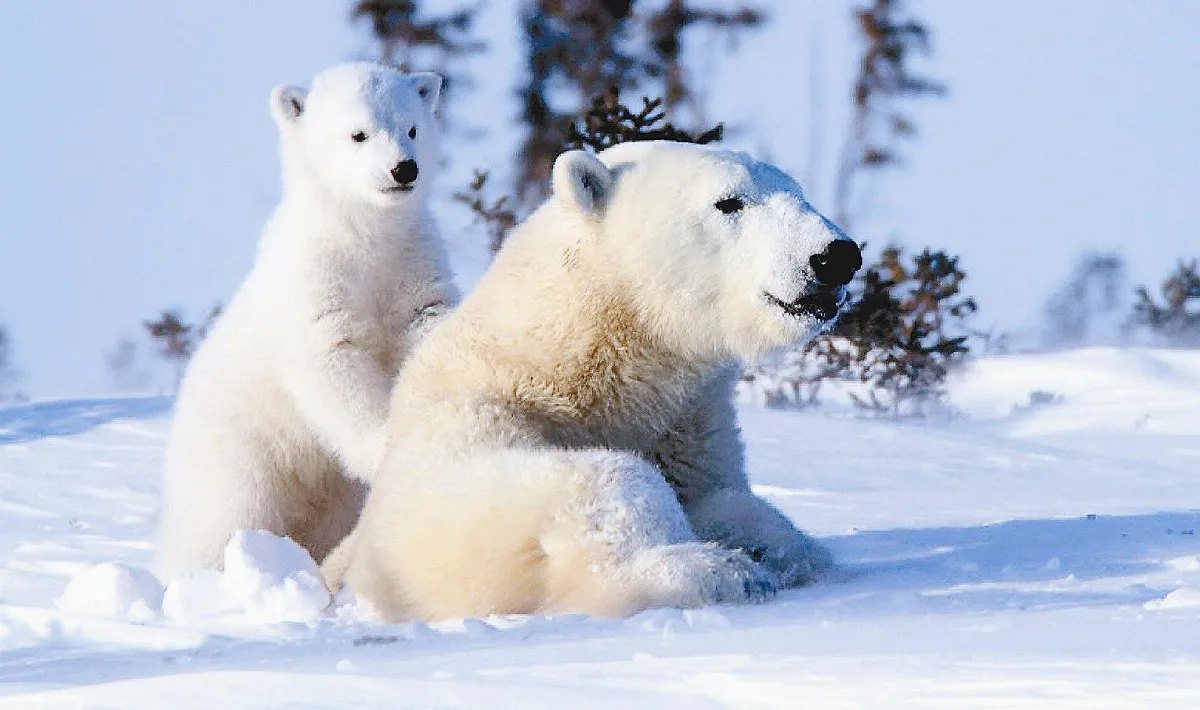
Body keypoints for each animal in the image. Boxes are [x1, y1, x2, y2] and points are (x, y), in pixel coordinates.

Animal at [154, 63, 458, 581]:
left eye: (413, 127)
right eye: (358, 133)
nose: (404, 169)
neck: (366, 238)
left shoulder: (414, 266)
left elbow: (426, 327)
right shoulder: (315, 283)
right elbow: (332, 364)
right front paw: (383, 446)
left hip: (330, 494)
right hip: (240, 456)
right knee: (221, 521)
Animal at [322, 141, 861, 621]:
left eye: (798, 191)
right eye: (729, 201)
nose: (837, 255)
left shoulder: (685, 428)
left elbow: (720, 499)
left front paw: (776, 549)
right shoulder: (464, 417)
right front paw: (709, 568)